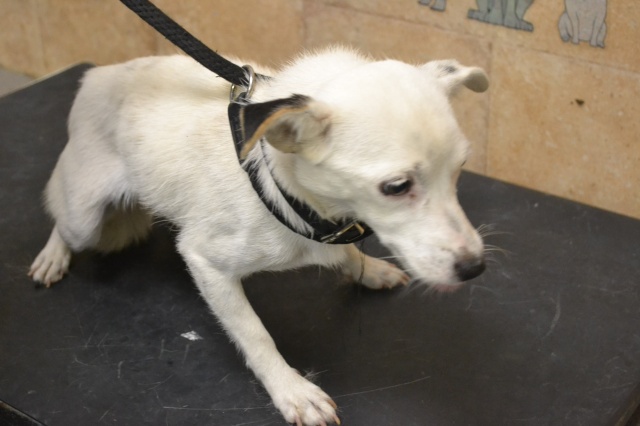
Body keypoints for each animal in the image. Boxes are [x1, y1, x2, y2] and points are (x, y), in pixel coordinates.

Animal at [29, 46, 489, 425]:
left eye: (460, 168)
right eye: (396, 187)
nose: (475, 268)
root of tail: (98, 75)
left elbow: (348, 254)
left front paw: (367, 268)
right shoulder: (206, 262)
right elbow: (256, 335)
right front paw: (292, 390)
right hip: (84, 216)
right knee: (61, 213)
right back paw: (53, 255)